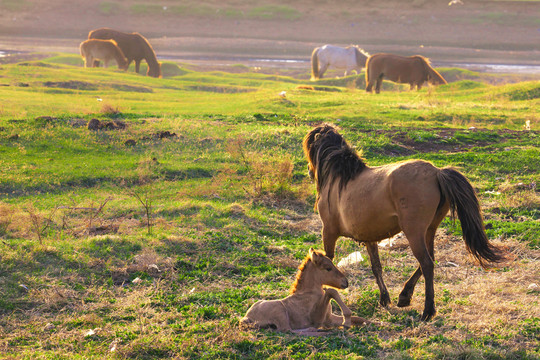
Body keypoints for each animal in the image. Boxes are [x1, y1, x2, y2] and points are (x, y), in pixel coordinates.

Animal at [239, 248, 368, 334]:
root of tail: (247, 317)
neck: (310, 292)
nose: (345, 282)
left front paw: (367, 323)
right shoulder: (319, 318)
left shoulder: (329, 318)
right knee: (288, 330)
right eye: (328, 268)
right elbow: (331, 291)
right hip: (280, 310)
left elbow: (359, 318)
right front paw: (346, 323)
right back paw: (317, 330)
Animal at [302, 124, 504, 320]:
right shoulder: (369, 238)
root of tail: (437, 173)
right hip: (429, 230)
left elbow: (327, 261)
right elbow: (376, 267)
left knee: (427, 263)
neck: (340, 179)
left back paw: (427, 311)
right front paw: (384, 299)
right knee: (430, 260)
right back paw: (405, 296)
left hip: (414, 232)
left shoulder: (328, 232)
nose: (309, 171)